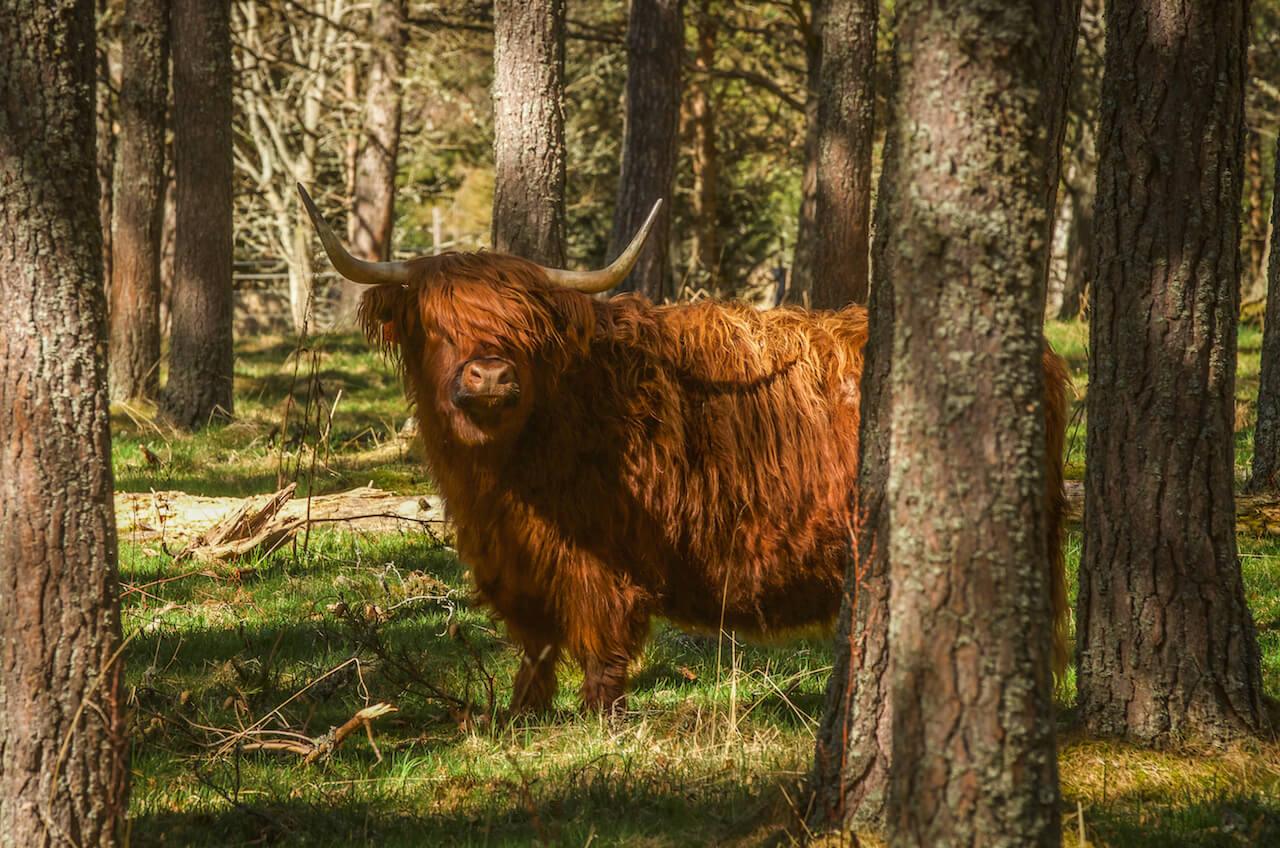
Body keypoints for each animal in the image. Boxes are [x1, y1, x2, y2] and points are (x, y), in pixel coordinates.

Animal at [299, 188, 1070, 717]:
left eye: (526, 328)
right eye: (435, 324)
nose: (490, 375)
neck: (507, 477)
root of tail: (1040, 356)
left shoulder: (606, 564)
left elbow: (602, 647)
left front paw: (600, 720)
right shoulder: (515, 563)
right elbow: (535, 648)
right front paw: (521, 715)